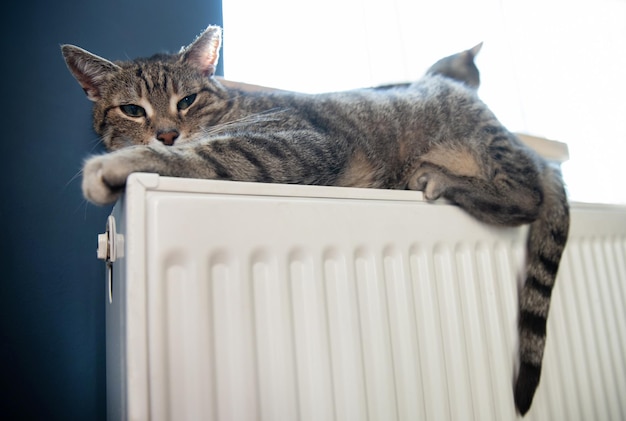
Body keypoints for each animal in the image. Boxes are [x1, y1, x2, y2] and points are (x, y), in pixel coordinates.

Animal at [62, 23, 564, 414]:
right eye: (132, 109)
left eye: (186, 100)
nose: (166, 133)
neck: (231, 107)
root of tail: (533, 151)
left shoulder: (299, 143)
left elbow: (207, 152)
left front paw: (114, 166)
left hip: (486, 150)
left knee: (527, 197)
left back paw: (441, 179)